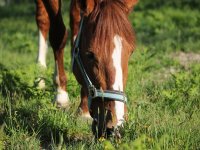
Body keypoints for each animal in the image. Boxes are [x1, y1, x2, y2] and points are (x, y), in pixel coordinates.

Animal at [34, 0, 138, 138]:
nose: (116, 125)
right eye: (90, 55)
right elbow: (58, 34)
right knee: (42, 20)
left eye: (131, 52)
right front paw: (61, 96)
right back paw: (40, 77)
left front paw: (83, 110)